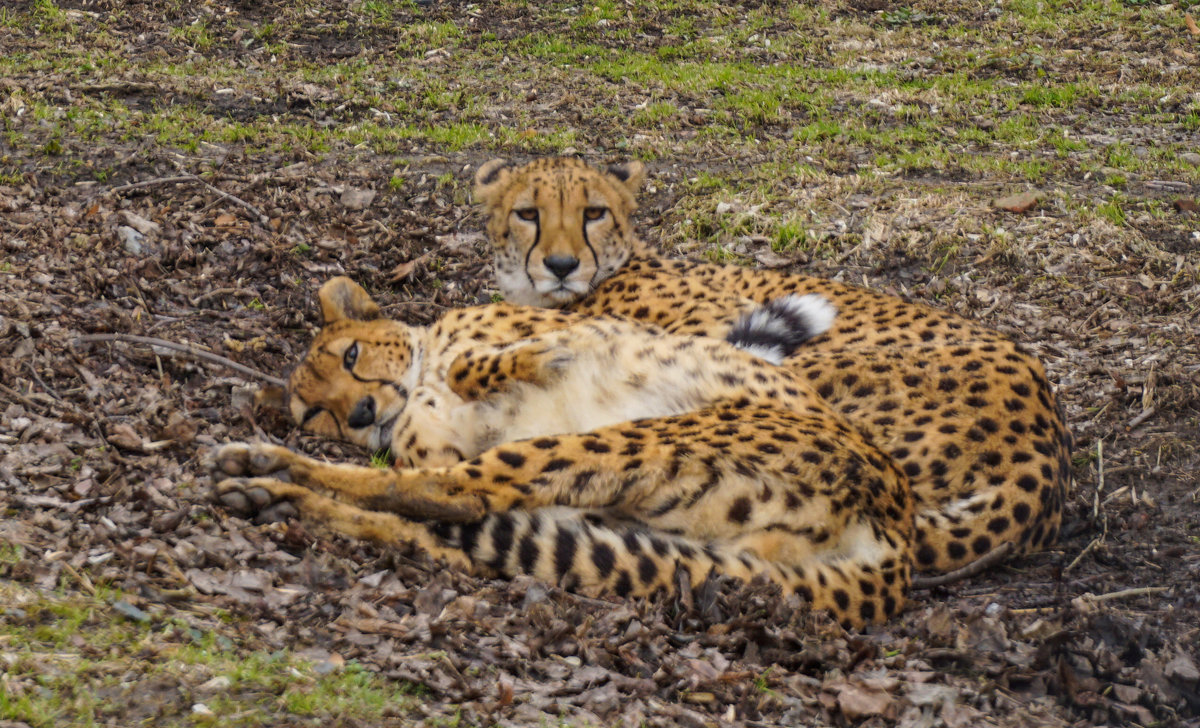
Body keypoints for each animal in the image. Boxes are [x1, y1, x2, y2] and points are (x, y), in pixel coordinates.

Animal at [213, 275, 907, 628]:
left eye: (352, 355)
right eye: (315, 412)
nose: (359, 412)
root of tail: (893, 540)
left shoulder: (574, 329)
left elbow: (483, 363)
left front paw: (534, 360)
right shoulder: (432, 442)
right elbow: (426, 458)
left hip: (644, 439)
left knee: (453, 500)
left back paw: (271, 475)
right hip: (637, 519)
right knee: (456, 519)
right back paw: (265, 481)